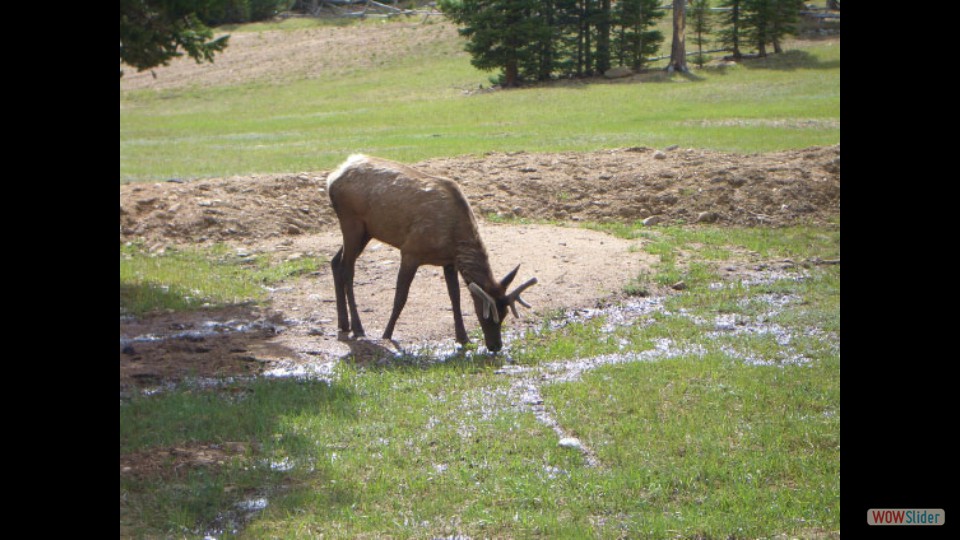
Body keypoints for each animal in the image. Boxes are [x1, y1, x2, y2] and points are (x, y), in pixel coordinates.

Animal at [324, 154, 536, 352]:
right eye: (488, 316)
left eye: (505, 314)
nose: (496, 346)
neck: (454, 238)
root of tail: (333, 177)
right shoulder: (410, 251)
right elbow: (400, 297)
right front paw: (387, 334)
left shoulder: (449, 262)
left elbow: (455, 297)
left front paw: (463, 338)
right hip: (351, 222)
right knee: (347, 270)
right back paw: (358, 327)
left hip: (367, 231)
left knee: (335, 262)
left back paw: (343, 324)